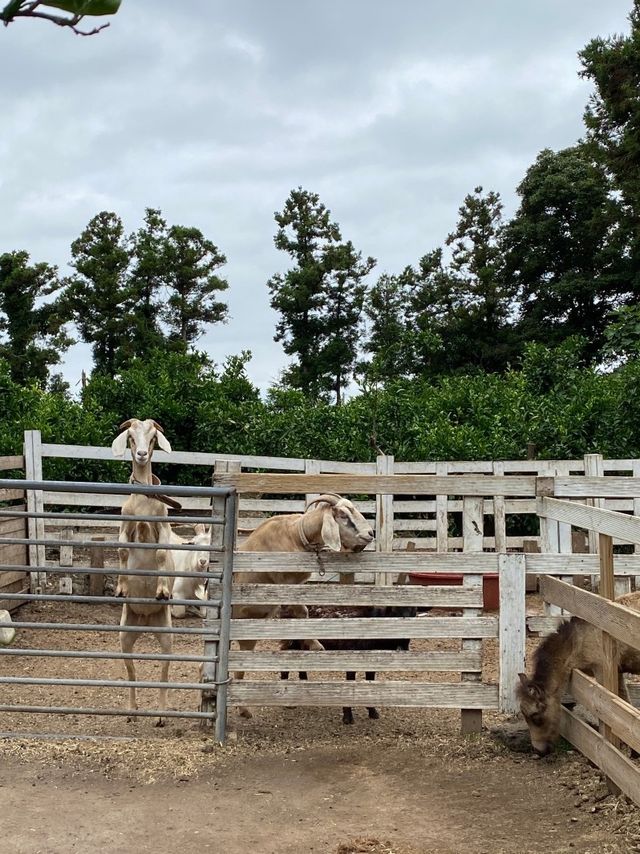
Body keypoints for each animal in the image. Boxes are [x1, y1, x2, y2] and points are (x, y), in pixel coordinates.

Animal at [235, 494, 376, 724]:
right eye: (343, 515)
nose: (370, 534)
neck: (294, 534)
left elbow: (304, 612)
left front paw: (313, 644)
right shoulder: (285, 584)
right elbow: (302, 611)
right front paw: (316, 644)